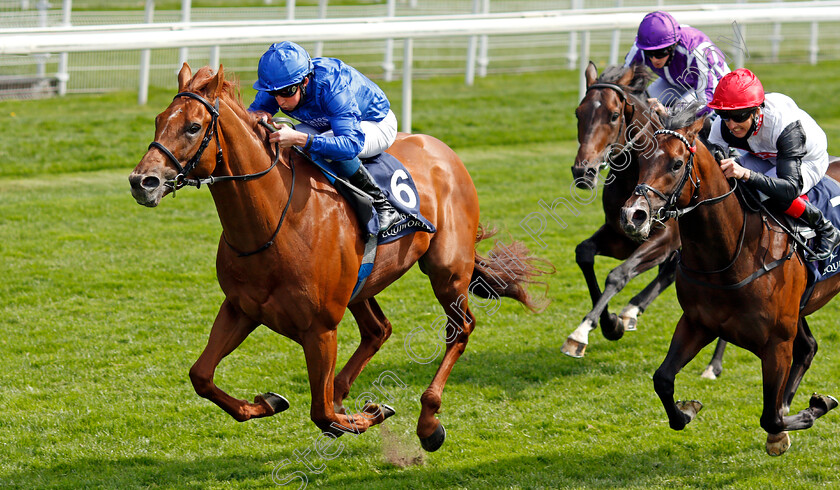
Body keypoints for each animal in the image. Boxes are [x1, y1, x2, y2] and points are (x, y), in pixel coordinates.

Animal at [128, 64, 548, 452]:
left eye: (193, 127)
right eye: (159, 120)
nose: (141, 182)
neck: (274, 226)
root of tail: (443, 150)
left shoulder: (320, 328)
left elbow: (323, 415)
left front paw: (369, 413)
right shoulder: (241, 308)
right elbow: (201, 375)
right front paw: (269, 402)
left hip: (447, 270)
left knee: (459, 329)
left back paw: (428, 422)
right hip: (361, 286)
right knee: (378, 330)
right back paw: (348, 391)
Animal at [620, 108, 836, 456]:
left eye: (677, 164)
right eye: (641, 161)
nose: (632, 216)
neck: (730, 255)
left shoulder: (777, 343)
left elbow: (771, 417)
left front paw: (815, 407)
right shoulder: (697, 323)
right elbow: (663, 379)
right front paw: (687, 410)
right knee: (809, 347)